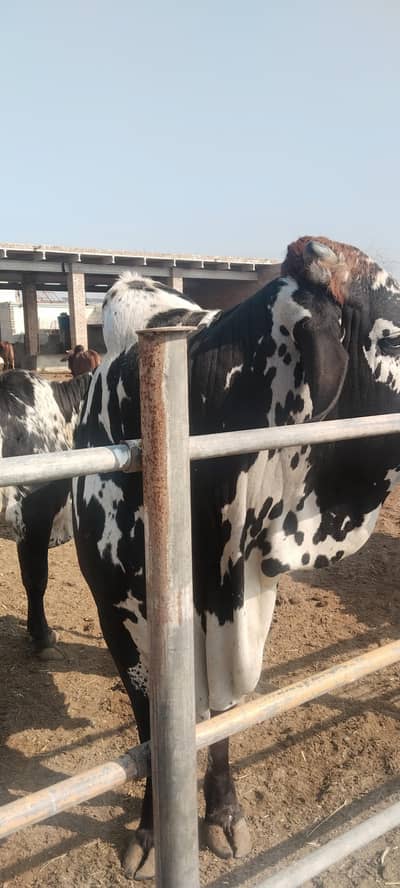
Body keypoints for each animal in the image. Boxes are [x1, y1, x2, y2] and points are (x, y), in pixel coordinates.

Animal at [73, 242, 400, 880]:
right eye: (393, 339)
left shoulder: (244, 600)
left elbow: (221, 716)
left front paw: (222, 812)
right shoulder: (117, 617)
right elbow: (153, 726)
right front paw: (153, 830)